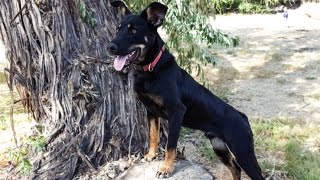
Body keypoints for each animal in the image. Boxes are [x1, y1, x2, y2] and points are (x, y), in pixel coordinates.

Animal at [109, 1, 264, 180]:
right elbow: (153, 135)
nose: (110, 47)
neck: (151, 68)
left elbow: (170, 146)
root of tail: (244, 118)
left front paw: (166, 169)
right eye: (117, 29)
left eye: (133, 31)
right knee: (235, 168)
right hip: (220, 147)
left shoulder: (176, 112)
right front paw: (151, 155)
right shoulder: (151, 111)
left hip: (243, 151)